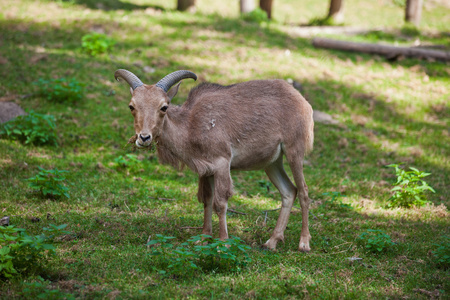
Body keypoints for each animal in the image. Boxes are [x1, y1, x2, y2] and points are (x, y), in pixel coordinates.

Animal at [114, 69, 314, 251]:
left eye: (164, 107)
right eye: (132, 106)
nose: (144, 137)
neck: (191, 126)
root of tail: (303, 102)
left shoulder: (221, 163)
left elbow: (220, 203)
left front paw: (223, 243)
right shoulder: (206, 170)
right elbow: (207, 200)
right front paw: (203, 238)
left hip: (294, 150)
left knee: (303, 191)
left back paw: (304, 243)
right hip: (272, 162)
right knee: (289, 191)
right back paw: (271, 242)